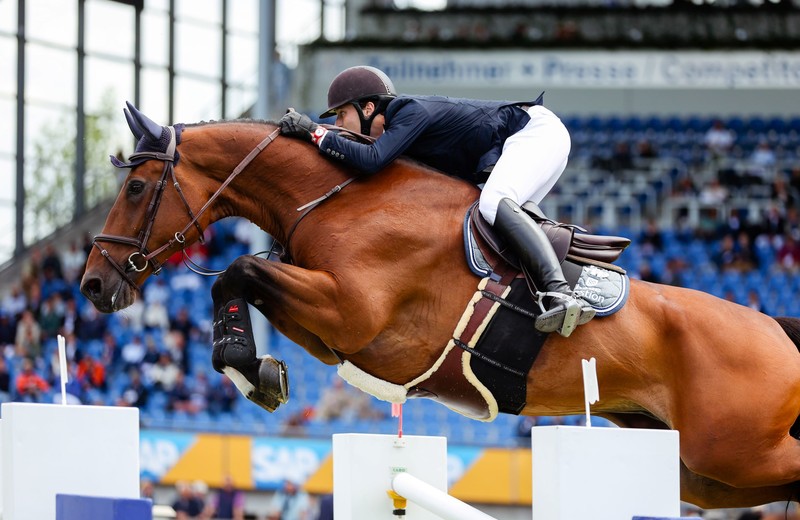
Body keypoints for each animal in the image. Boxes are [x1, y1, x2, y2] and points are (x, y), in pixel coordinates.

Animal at [81, 104, 800, 508]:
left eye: (138, 188)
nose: (90, 284)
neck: (341, 197)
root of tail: (774, 327)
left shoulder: (352, 312)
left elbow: (237, 270)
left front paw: (241, 361)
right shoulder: (335, 332)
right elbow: (245, 280)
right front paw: (254, 369)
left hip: (729, 451)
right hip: (703, 473)